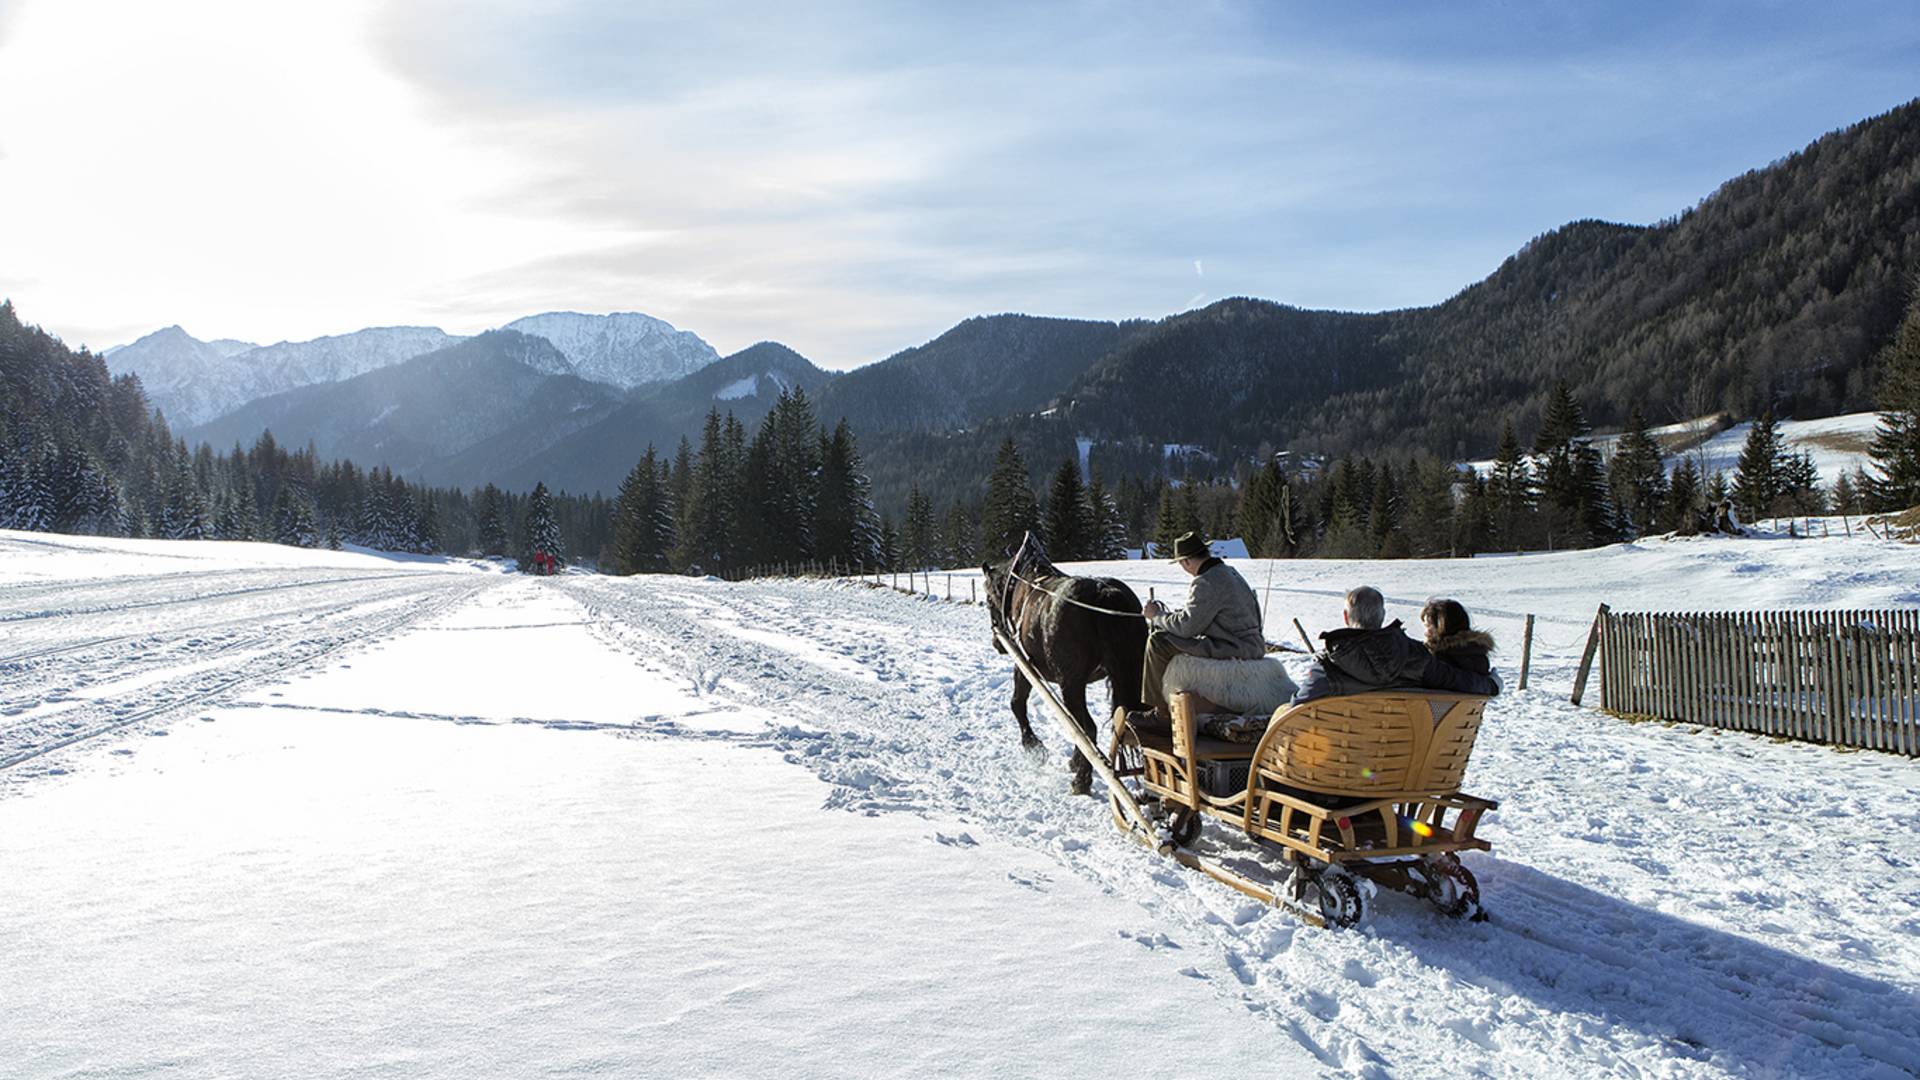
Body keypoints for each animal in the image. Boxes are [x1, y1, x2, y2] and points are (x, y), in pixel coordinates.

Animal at [990, 538, 1136, 791]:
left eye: (988, 600)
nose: (996, 642)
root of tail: (1103, 591)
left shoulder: (1024, 665)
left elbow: (1017, 703)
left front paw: (1034, 747)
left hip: (1070, 684)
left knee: (1086, 728)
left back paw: (1082, 780)